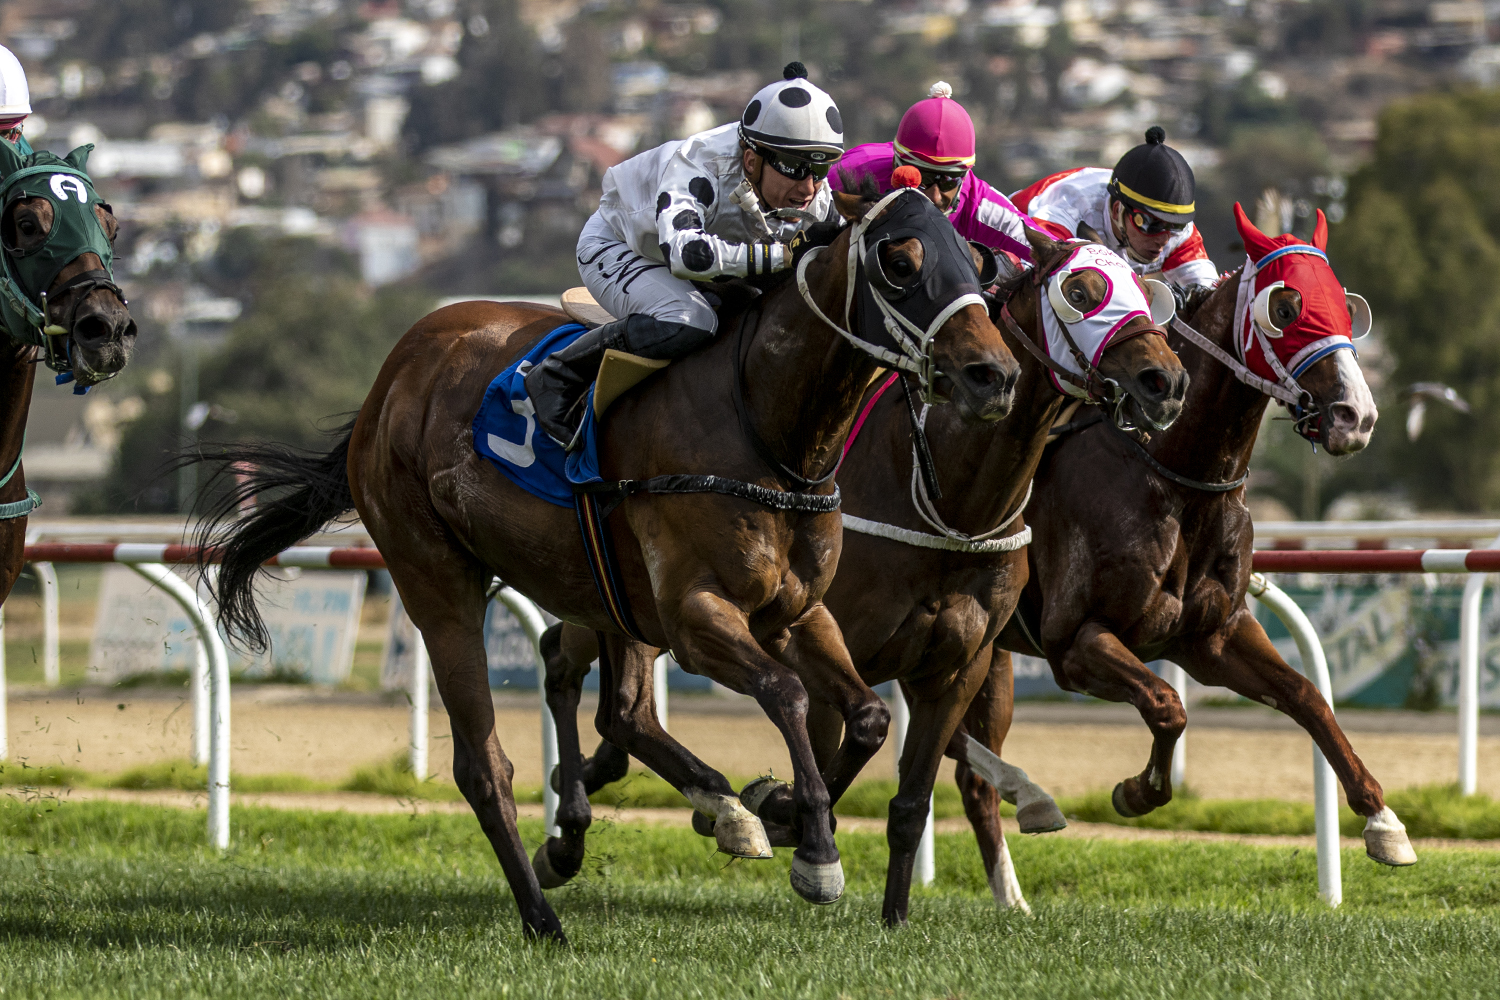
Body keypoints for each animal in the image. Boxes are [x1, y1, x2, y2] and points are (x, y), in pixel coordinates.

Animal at [194, 185, 1021, 943]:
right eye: (900, 261)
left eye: (977, 259)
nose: (995, 375)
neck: (767, 427)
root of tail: (393, 374)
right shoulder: (695, 616)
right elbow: (785, 693)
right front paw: (813, 849)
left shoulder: (796, 610)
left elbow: (870, 716)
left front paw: (774, 809)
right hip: (436, 578)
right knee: (485, 766)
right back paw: (543, 917)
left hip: (599, 590)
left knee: (615, 706)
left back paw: (696, 812)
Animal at [535, 227, 1192, 926]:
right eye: (1082, 290)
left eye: (1147, 289)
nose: (1165, 380)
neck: (949, 502)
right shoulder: (824, 635)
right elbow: (830, 759)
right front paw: (784, 816)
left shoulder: (960, 659)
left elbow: (908, 798)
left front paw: (893, 914)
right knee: (566, 664)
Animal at [954, 204, 1412, 912]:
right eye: (1286, 306)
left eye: (1347, 304)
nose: (1354, 416)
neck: (1173, 475)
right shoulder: (1074, 643)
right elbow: (1168, 706)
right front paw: (1134, 792)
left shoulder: (1212, 636)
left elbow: (1308, 696)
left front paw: (1384, 822)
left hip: (989, 649)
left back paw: (1015, 877)